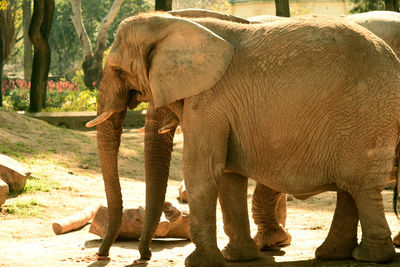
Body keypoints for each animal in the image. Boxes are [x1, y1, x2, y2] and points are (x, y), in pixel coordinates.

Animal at [87, 11, 400, 266]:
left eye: (118, 71)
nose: (143, 256)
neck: (170, 23)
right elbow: (228, 174)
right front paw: (237, 258)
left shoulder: (210, 101)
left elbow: (202, 171)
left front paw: (199, 262)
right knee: (351, 187)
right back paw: (333, 254)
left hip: (365, 114)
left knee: (361, 186)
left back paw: (371, 257)